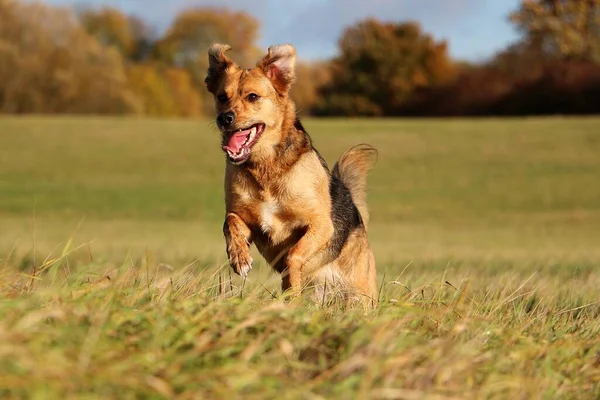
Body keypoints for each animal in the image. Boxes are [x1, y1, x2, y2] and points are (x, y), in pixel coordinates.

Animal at [204, 43, 378, 306]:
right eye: (222, 97)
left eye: (252, 96)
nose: (224, 118)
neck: (265, 167)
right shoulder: (244, 218)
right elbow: (230, 224)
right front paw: (239, 258)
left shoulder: (320, 225)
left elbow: (294, 255)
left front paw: (291, 289)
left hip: (360, 294)